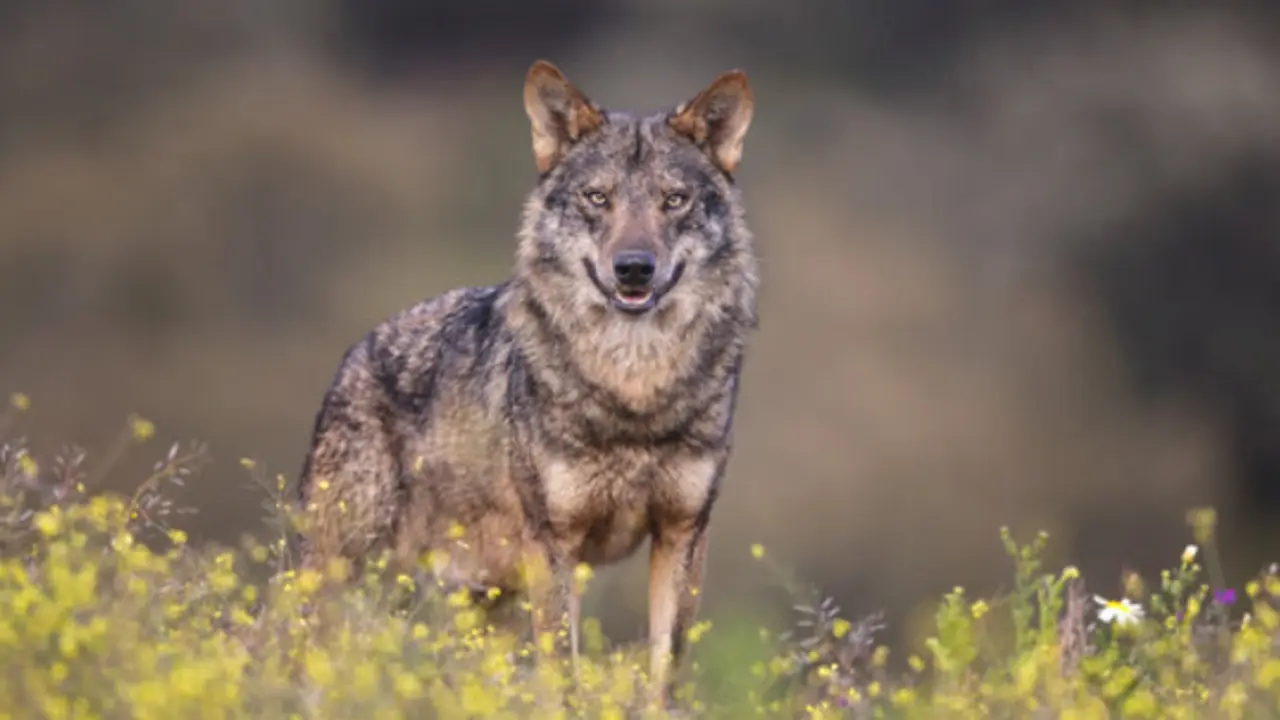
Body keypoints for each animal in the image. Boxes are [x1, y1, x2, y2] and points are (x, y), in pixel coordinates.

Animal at [295, 59, 758, 702]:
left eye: (674, 200)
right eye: (597, 198)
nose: (633, 268)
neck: (632, 391)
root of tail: (354, 354)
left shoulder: (683, 532)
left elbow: (663, 675)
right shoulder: (555, 543)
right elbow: (564, 675)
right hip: (346, 578)